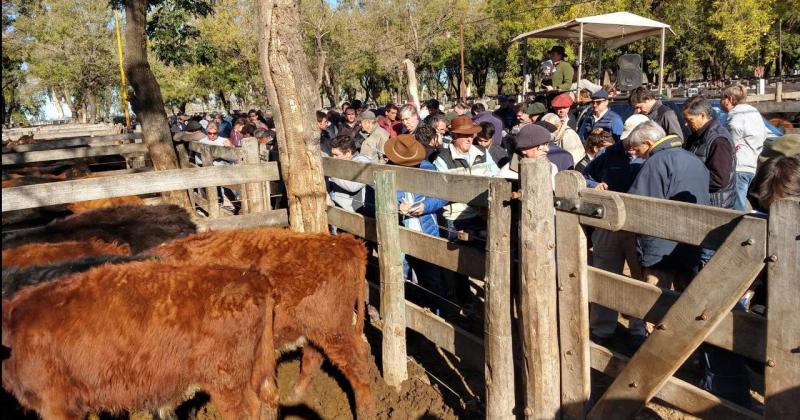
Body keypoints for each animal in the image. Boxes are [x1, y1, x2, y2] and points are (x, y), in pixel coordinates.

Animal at [149, 228, 372, 418]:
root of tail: (344, 242)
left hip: (333, 331)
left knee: (359, 371)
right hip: (315, 329)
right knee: (314, 357)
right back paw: (295, 395)